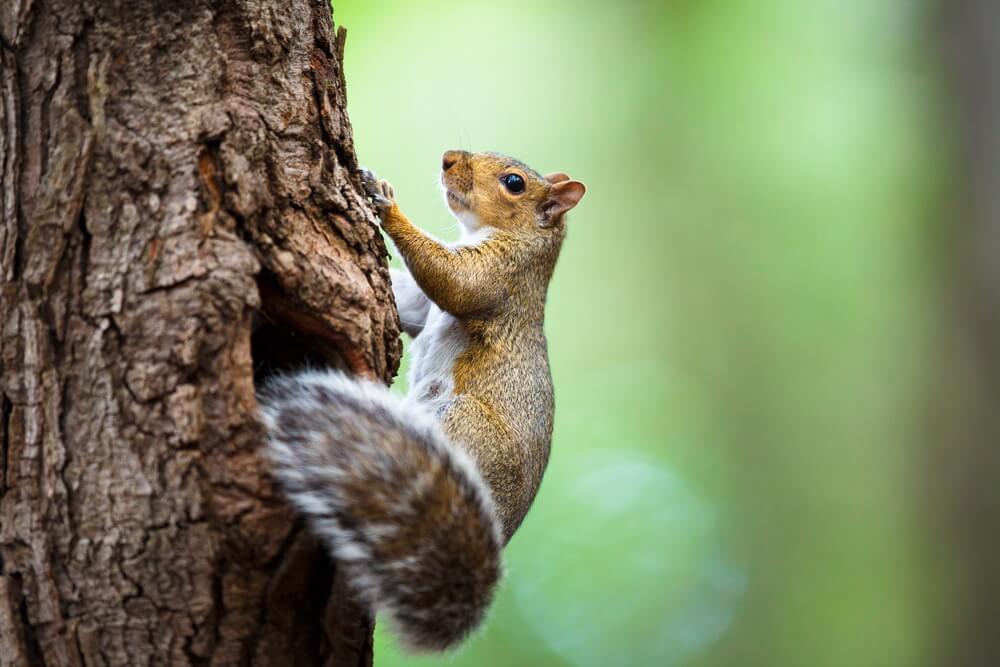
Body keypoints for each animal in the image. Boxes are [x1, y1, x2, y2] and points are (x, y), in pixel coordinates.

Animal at [258, 150, 584, 652]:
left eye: (514, 183)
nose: (449, 158)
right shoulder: (422, 307)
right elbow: (410, 305)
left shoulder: (502, 276)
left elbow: (454, 281)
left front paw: (384, 200)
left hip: (466, 425)